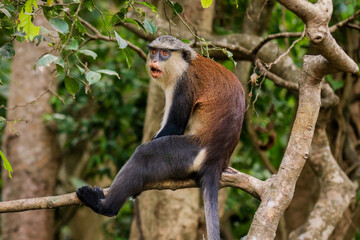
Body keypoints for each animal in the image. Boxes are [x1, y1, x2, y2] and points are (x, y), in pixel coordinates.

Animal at [75, 35, 245, 240]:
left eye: (164, 53)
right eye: (154, 51)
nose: (154, 61)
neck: (185, 64)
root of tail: (216, 160)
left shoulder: (183, 84)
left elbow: (174, 126)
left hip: (184, 154)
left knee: (145, 154)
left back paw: (106, 207)